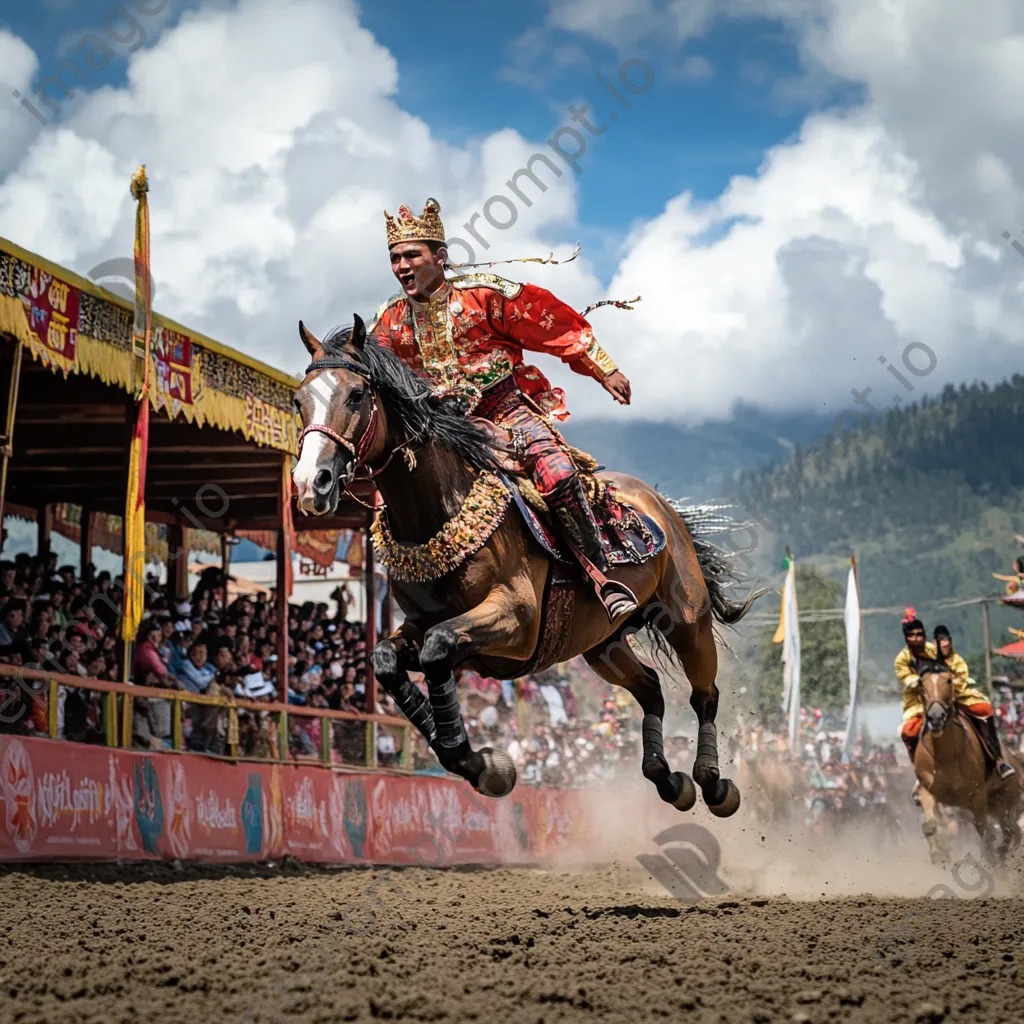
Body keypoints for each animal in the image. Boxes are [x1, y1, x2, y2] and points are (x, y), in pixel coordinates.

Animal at [292, 315, 765, 811]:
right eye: (298, 401)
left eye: (355, 395)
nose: (310, 483)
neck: (441, 510)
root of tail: (662, 505)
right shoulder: (431, 628)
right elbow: (386, 658)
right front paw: (477, 762)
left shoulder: (515, 619)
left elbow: (438, 647)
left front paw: (476, 760)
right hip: (602, 645)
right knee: (652, 689)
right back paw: (669, 780)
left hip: (686, 618)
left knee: (704, 695)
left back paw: (712, 782)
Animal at [913, 663, 1024, 864]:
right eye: (921, 683)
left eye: (949, 680)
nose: (936, 717)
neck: (946, 756)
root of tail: (1016, 759)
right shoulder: (928, 789)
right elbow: (929, 824)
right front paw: (937, 856)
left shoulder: (977, 796)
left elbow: (984, 831)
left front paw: (992, 859)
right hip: (994, 806)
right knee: (1010, 831)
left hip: (1007, 800)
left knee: (1009, 831)